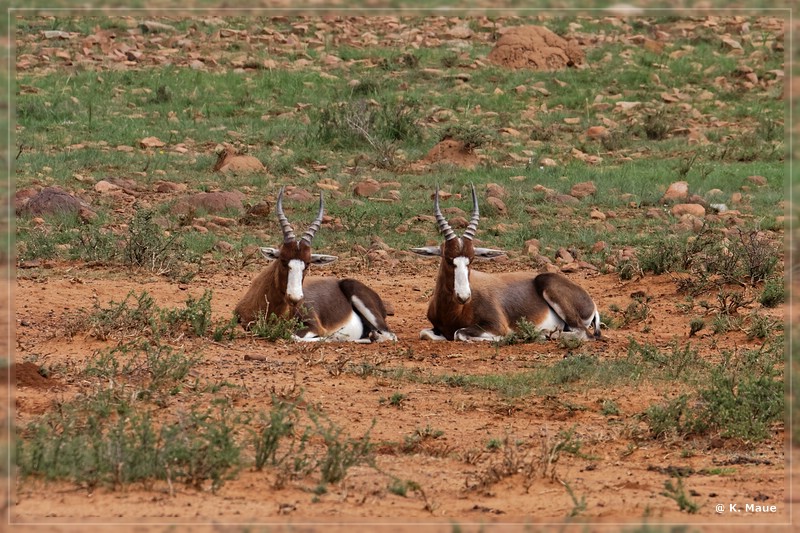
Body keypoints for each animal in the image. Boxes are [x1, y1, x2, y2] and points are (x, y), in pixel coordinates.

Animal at [234, 187, 396, 342]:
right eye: (283, 260)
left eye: (307, 264)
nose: (295, 299)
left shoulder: (315, 327)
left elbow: (294, 336)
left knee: (390, 335)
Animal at [412, 185, 600, 340]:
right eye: (448, 258)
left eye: (471, 260)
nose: (464, 296)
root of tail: (592, 304)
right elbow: (424, 333)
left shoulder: (496, 326)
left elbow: (460, 333)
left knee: (585, 334)